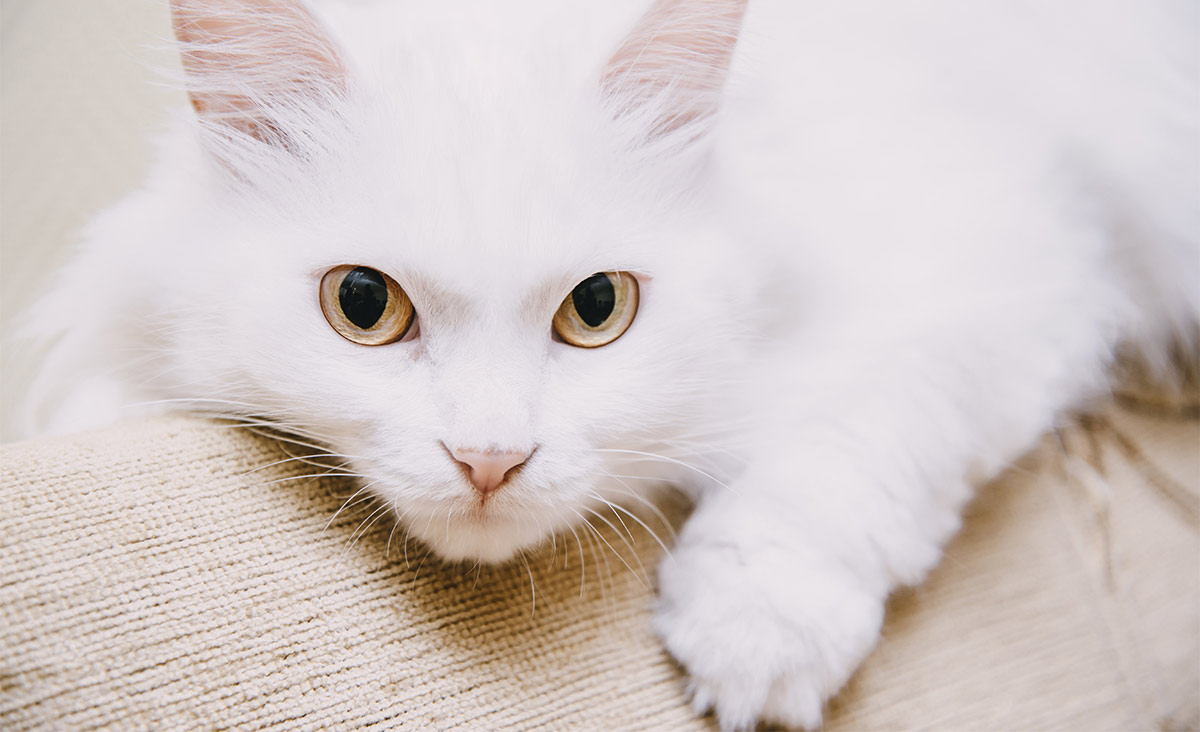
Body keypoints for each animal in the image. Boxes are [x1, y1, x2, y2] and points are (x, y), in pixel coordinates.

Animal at [18, 0, 1200, 724]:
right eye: (362, 305)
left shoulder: (1010, 264)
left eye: (597, 310)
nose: (489, 460)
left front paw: (757, 630)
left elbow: (850, 444)